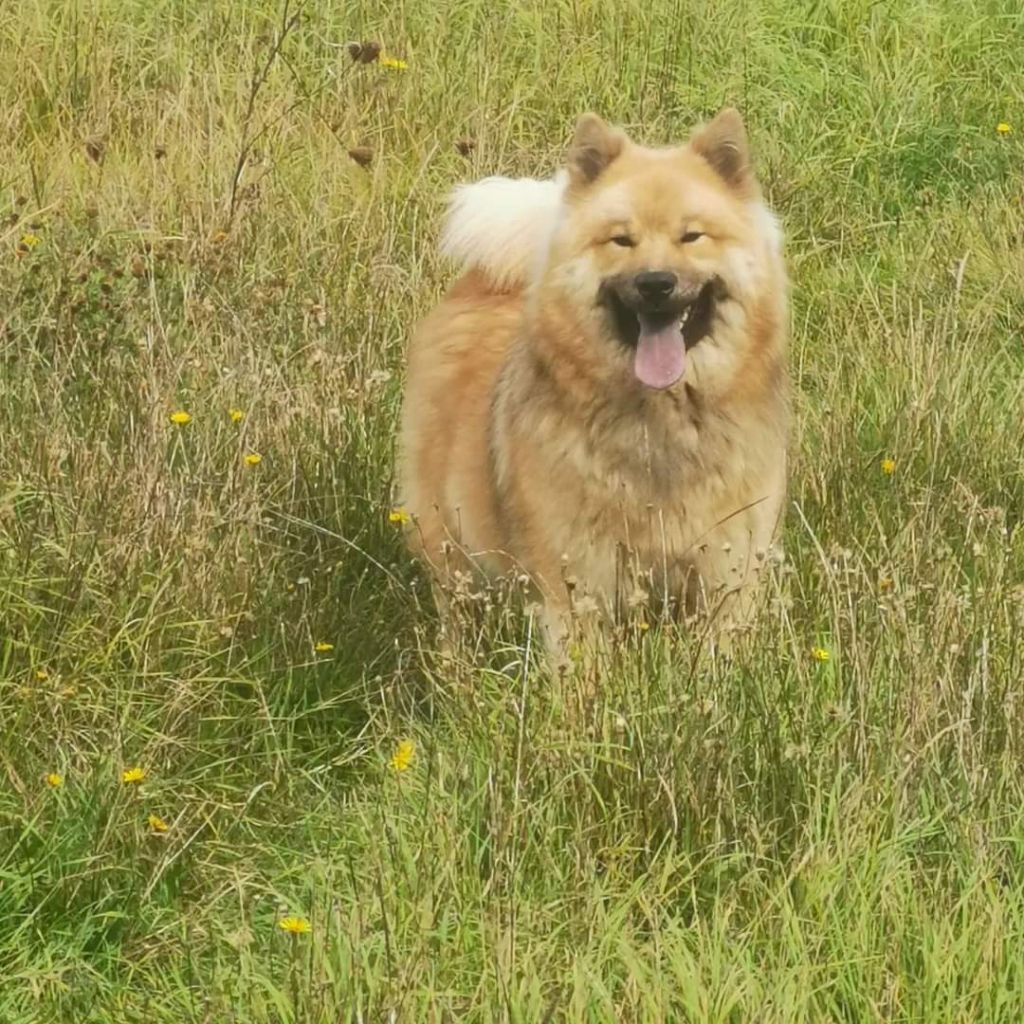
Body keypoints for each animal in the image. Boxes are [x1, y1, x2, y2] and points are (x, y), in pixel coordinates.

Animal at [395, 108, 786, 659]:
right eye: (621, 240)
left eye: (692, 236)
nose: (656, 283)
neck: (658, 425)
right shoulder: (578, 586)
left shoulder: (727, 576)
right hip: (452, 546)